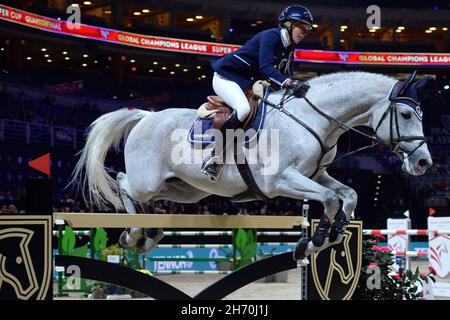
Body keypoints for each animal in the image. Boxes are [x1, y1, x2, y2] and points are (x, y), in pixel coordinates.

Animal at [73, 71, 432, 258]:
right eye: (405, 114)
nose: (424, 162)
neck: (312, 118)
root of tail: (146, 116)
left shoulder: (316, 175)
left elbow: (348, 195)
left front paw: (327, 236)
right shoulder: (281, 181)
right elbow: (331, 199)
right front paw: (315, 240)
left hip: (185, 191)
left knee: (150, 198)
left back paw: (150, 233)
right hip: (147, 181)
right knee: (123, 182)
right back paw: (134, 232)